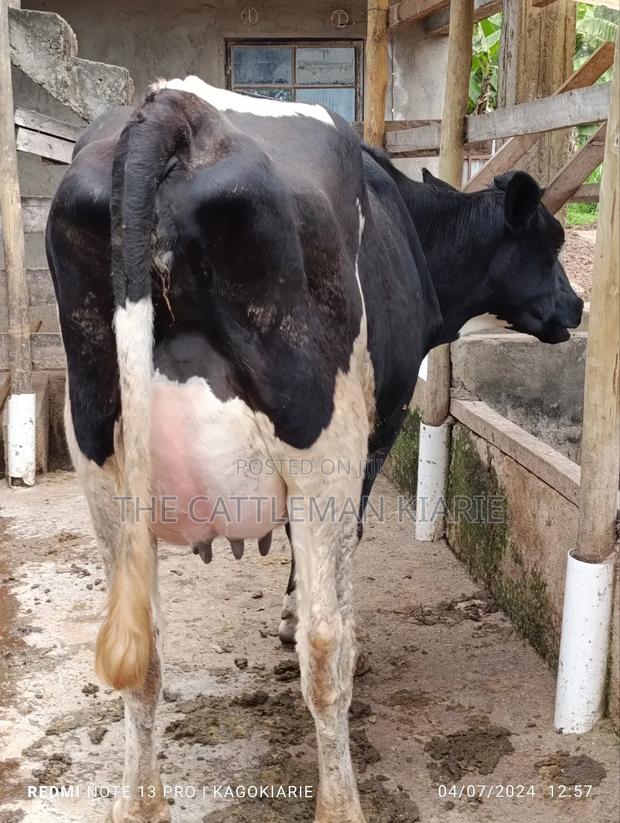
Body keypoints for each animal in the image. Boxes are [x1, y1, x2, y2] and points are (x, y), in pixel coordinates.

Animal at [46, 76, 582, 823]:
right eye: (551, 242)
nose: (577, 308)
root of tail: (177, 108)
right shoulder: (378, 432)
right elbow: (334, 565)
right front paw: (294, 613)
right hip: (323, 437)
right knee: (327, 646)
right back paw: (341, 800)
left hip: (99, 446)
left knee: (141, 646)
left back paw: (139, 804)